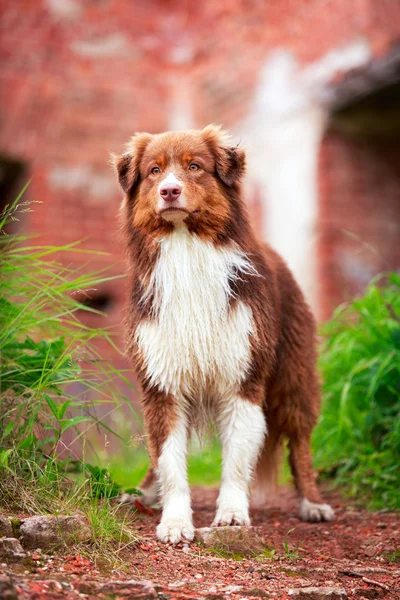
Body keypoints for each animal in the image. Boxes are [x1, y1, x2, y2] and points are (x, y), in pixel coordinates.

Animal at [113, 125, 334, 544]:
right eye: (153, 171)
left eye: (194, 167)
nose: (169, 190)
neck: (186, 250)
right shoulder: (161, 381)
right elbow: (168, 458)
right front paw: (175, 521)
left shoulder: (242, 378)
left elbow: (235, 458)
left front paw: (231, 514)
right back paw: (141, 493)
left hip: (293, 374)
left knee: (300, 442)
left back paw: (312, 503)